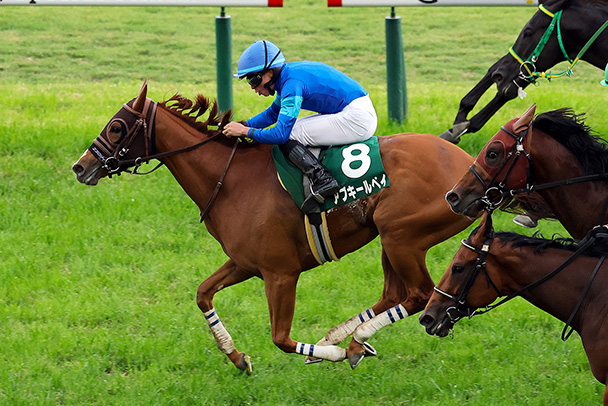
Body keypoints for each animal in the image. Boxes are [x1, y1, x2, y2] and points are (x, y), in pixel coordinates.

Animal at [72, 81, 474, 373]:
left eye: (117, 127)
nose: (80, 166)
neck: (231, 179)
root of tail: (470, 167)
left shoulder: (280, 273)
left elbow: (280, 338)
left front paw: (330, 355)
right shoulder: (246, 263)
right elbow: (203, 294)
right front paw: (237, 358)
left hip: (401, 235)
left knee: (418, 294)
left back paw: (347, 343)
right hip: (389, 237)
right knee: (394, 294)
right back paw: (346, 340)